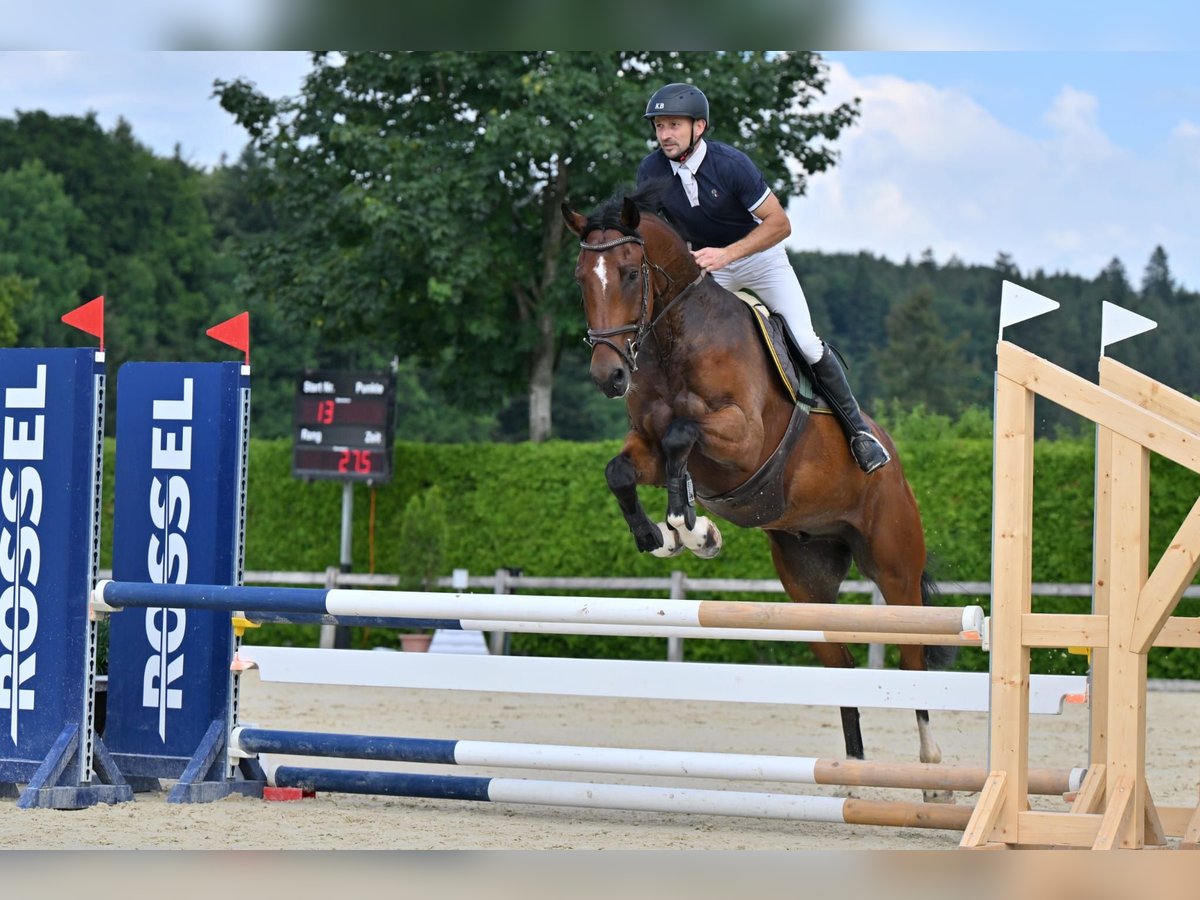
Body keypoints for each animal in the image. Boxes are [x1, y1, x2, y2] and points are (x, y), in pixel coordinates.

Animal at [561, 184, 955, 801]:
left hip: (895, 567)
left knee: (914, 660)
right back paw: (851, 776)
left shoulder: (741, 436)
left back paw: (933, 775)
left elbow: (683, 433)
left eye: (628, 272)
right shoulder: (645, 443)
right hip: (806, 582)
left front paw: (691, 526)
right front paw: (665, 536)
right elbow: (623, 470)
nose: (609, 376)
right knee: (840, 664)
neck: (672, 338)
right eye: (582, 278)